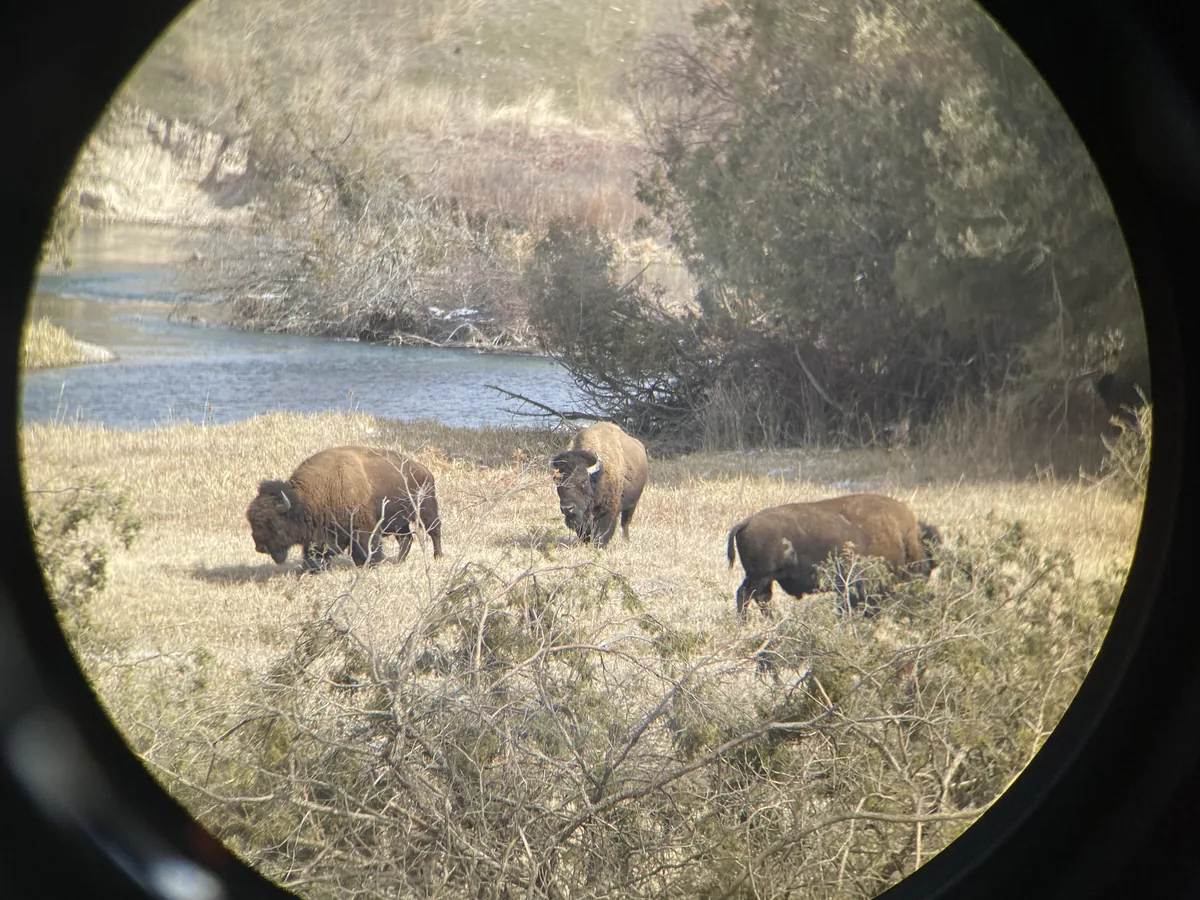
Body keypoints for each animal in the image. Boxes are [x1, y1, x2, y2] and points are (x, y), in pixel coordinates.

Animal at [247, 445, 442, 572]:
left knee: (434, 531)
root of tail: (425, 471)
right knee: (406, 539)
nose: (260, 547)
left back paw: (437, 557)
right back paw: (399, 561)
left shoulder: (363, 530)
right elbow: (315, 552)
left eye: (273, 523)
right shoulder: (319, 535)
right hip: (399, 523)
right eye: (253, 523)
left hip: (426, 511)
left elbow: (365, 549)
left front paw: (368, 565)